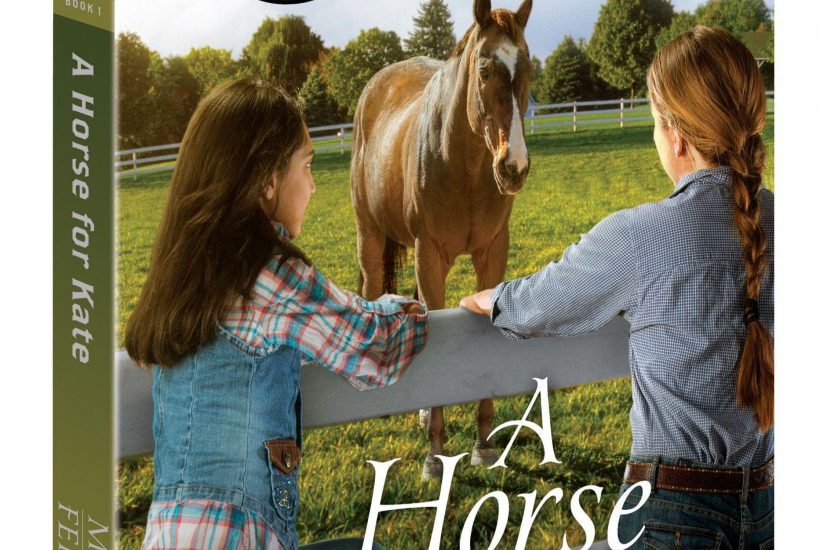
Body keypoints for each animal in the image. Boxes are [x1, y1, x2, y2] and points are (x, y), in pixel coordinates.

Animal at [350, 0, 532, 479]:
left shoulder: (492, 253)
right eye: (484, 69)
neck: (463, 168)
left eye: (527, 66)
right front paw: (434, 455)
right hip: (370, 237)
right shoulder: (430, 254)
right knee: (373, 288)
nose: (514, 167)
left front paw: (484, 445)